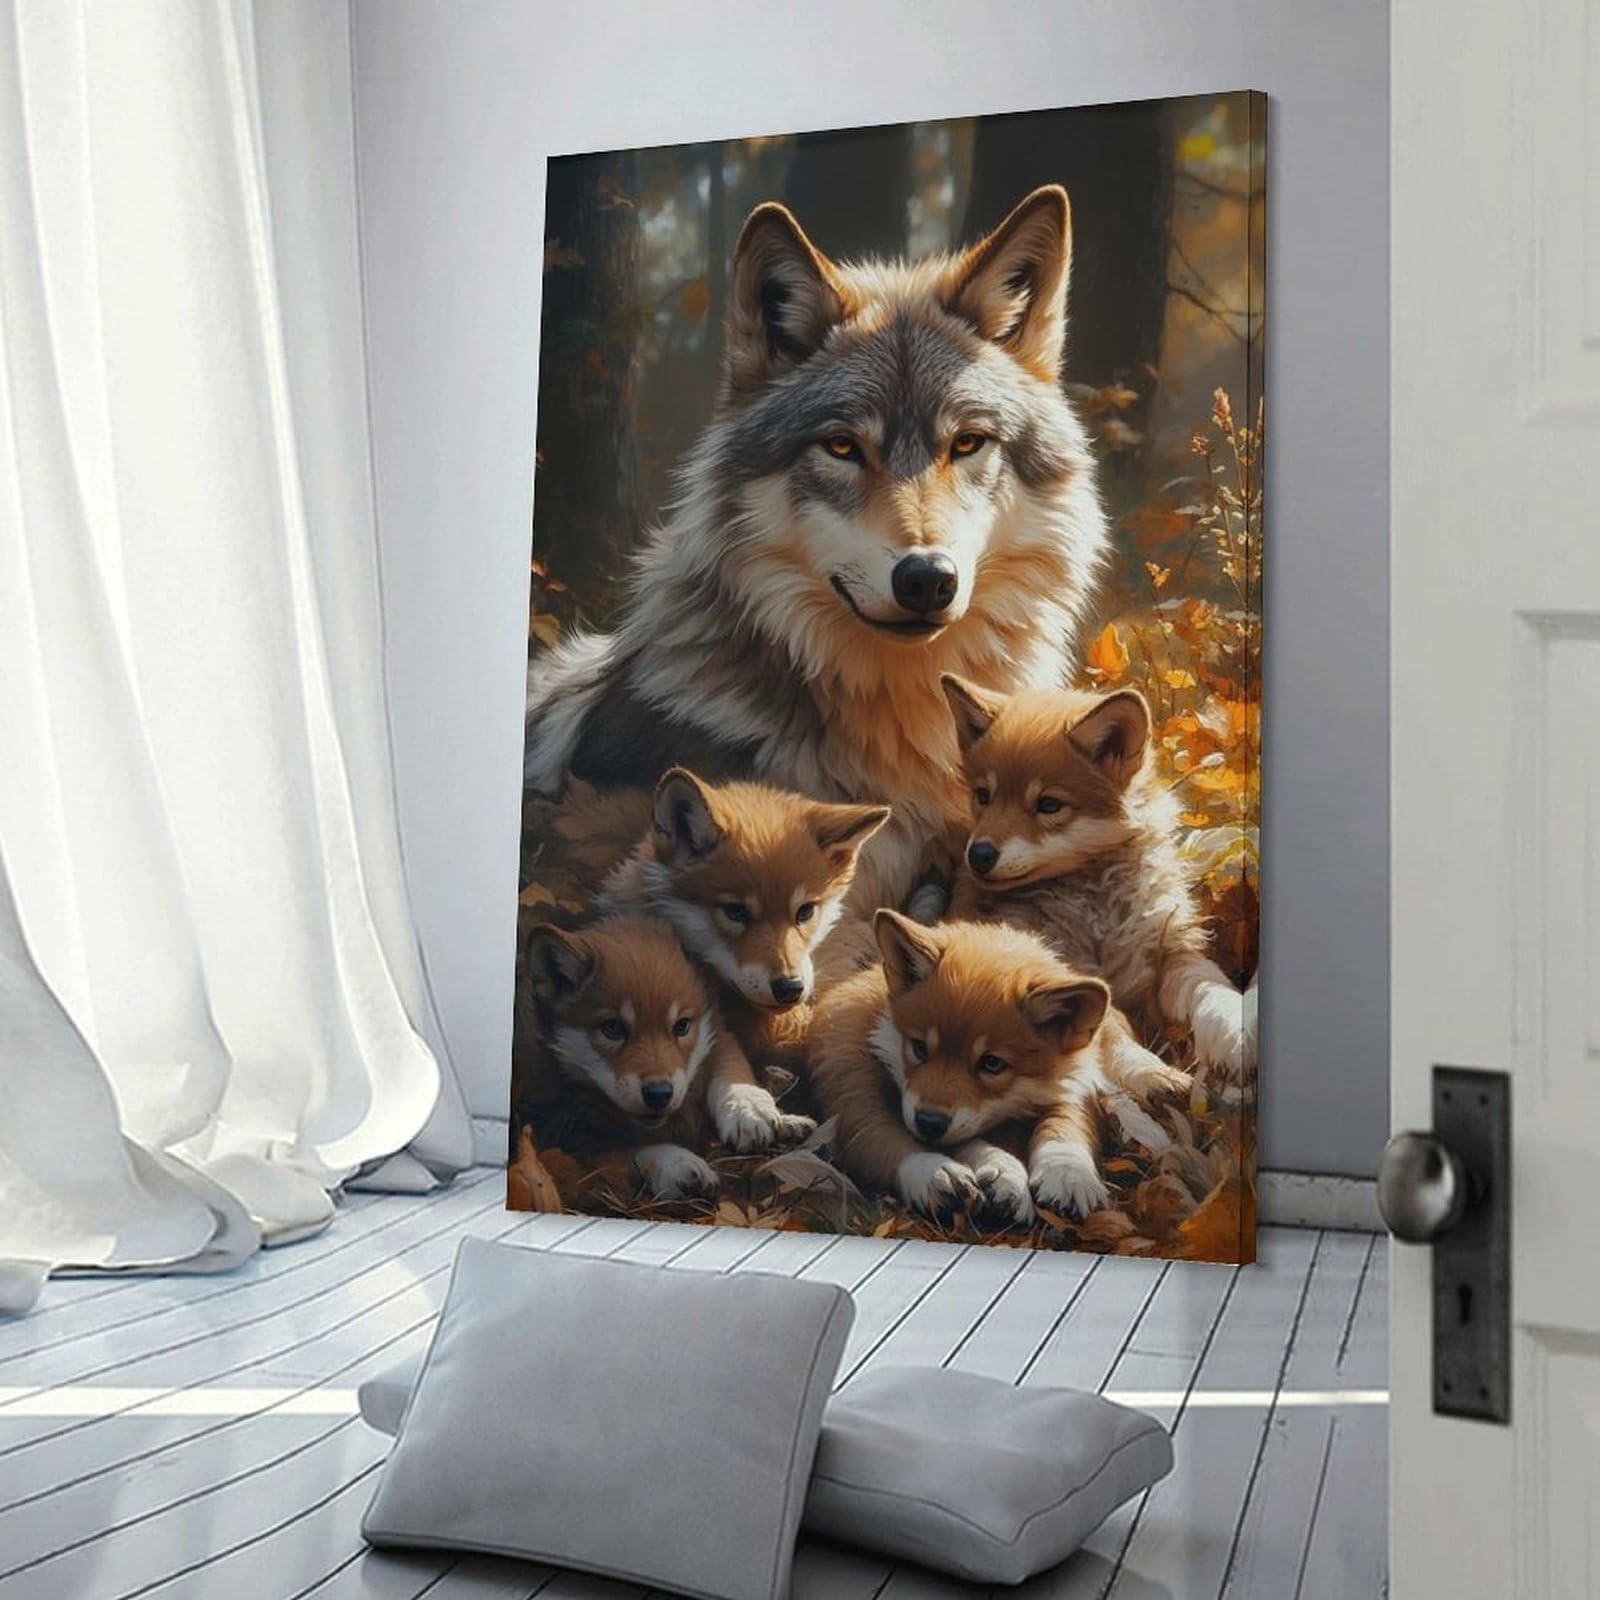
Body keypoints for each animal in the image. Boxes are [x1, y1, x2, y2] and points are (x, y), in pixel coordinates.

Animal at [516, 917, 720, 1199]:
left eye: (681, 1026)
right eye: (613, 1028)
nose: (659, 1094)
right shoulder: (551, 1132)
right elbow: (625, 1148)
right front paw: (677, 1162)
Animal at [808, 911, 1181, 1224]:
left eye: (991, 1063)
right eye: (919, 1048)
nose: (929, 1121)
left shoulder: (1073, 1084)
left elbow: (1066, 1123)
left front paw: (1067, 1171)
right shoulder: (854, 1104)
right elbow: (892, 1142)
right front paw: (942, 1172)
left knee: (1118, 1038)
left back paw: (1160, 1079)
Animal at [938, 674, 1257, 1091]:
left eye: (1049, 805)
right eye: (983, 796)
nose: (979, 855)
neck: (1098, 911)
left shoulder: (1171, 956)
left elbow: (1212, 987)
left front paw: (1235, 1034)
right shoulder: (1065, 982)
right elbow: (1112, 1033)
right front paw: (1151, 1072)